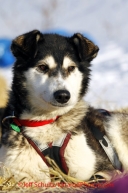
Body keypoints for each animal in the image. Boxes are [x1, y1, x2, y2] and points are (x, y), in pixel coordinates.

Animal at [0, 30, 128, 182]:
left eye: (71, 68)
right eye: (42, 67)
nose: (62, 95)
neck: (48, 121)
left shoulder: (100, 167)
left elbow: (98, 175)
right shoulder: (21, 175)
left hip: (115, 124)